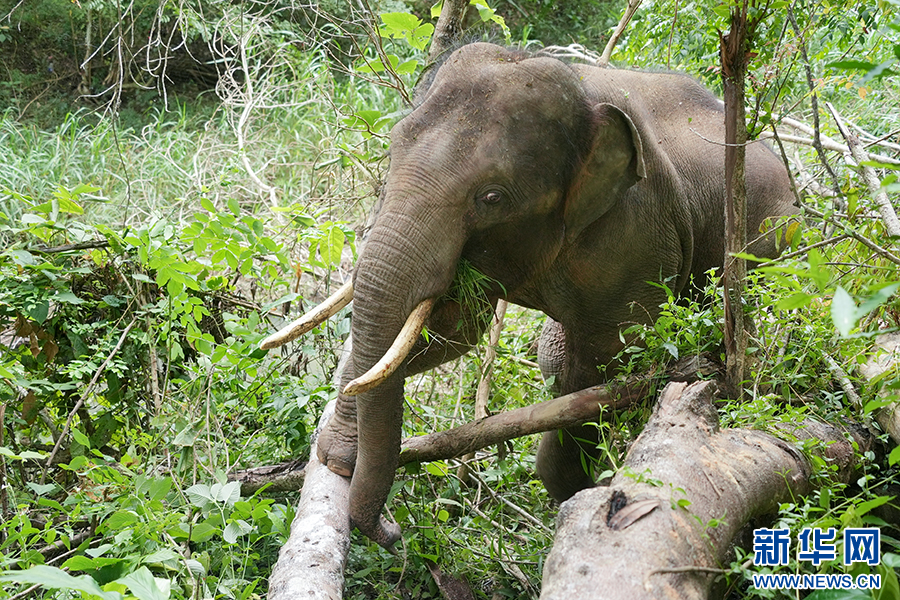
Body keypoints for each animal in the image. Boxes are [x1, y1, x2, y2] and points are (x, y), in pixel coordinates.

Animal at [266, 42, 796, 548]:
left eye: (492, 197)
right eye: (393, 149)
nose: (391, 531)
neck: (582, 91)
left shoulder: (636, 235)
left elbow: (608, 356)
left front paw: (585, 491)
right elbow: (450, 333)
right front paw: (337, 455)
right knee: (551, 354)